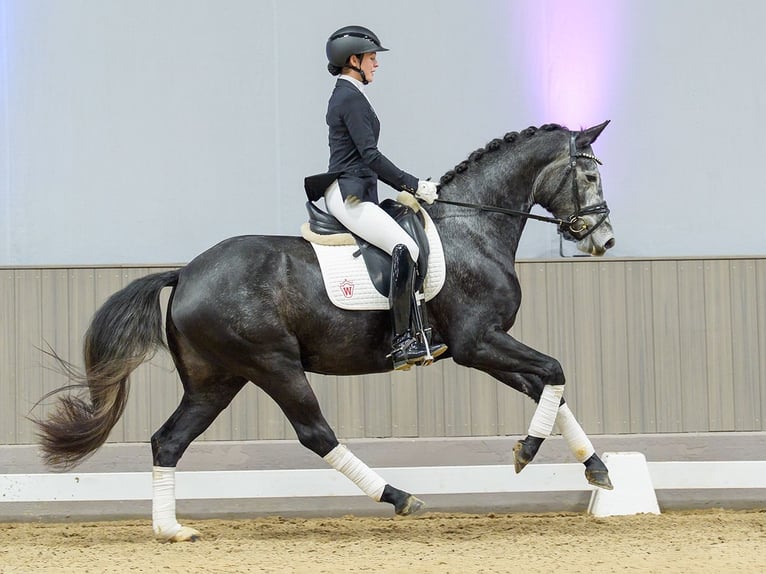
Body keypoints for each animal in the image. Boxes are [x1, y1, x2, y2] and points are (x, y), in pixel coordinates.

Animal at [35, 121, 616, 542]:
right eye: (589, 177)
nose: (604, 240)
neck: (472, 229)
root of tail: (186, 273)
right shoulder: (478, 342)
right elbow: (555, 371)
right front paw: (528, 451)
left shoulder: (482, 345)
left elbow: (549, 388)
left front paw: (597, 469)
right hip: (273, 364)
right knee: (315, 433)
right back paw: (399, 497)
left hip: (216, 379)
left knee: (169, 439)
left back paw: (171, 530)